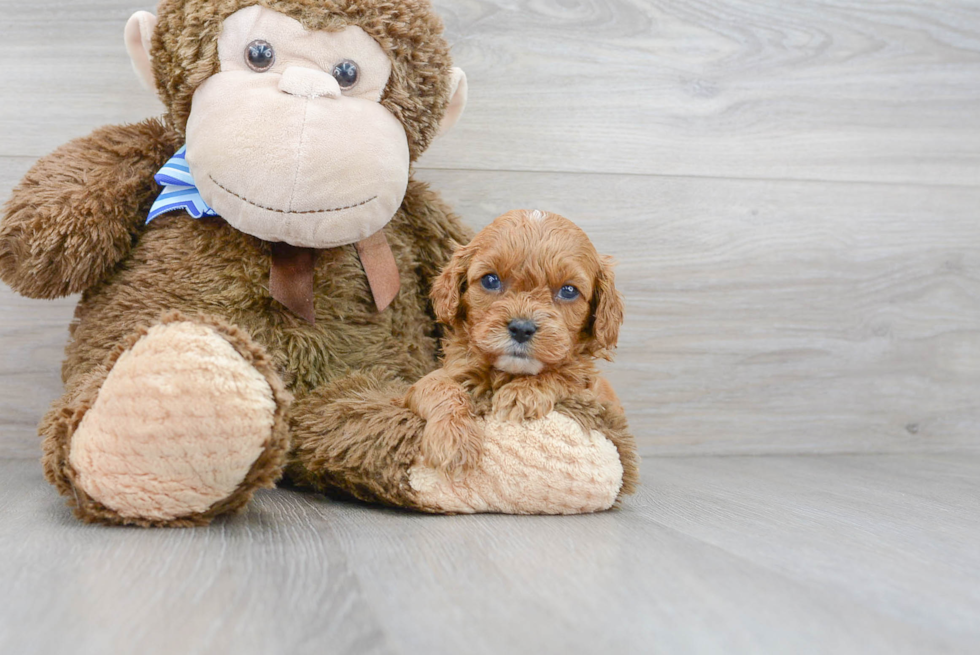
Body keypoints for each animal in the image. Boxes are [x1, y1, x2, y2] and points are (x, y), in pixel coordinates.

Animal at [408, 210, 628, 472]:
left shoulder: (591, 394)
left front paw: (522, 393)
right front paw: (452, 439)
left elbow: (566, 374)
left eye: (568, 291)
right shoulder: (437, 378)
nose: (522, 329)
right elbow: (438, 386)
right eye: (490, 280)